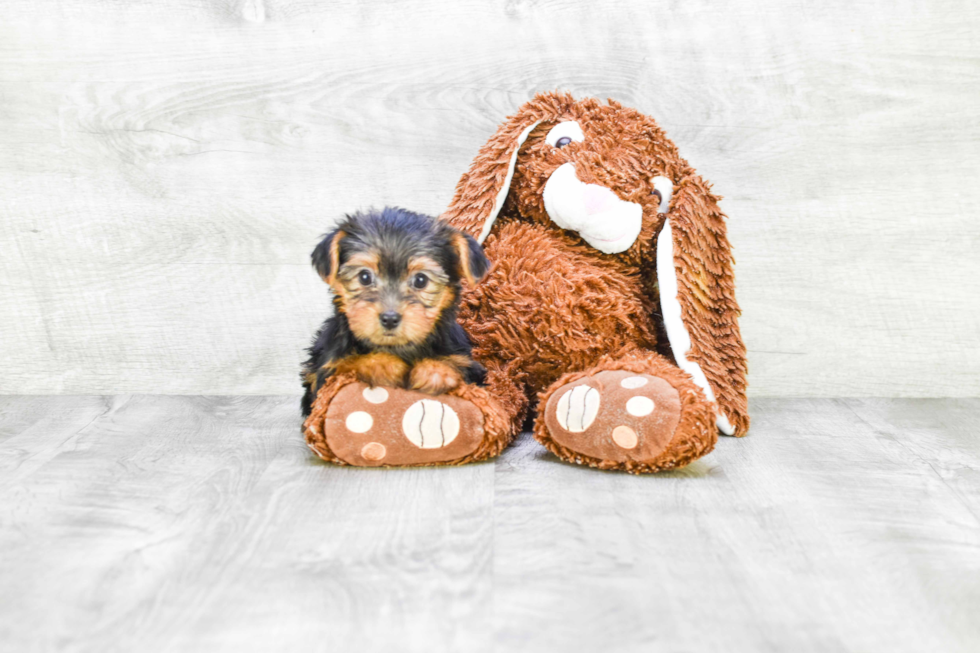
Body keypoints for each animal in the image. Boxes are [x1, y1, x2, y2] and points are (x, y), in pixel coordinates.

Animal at [300, 206, 490, 416]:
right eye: (364, 277)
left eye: (421, 280)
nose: (389, 318)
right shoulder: (327, 372)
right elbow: (347, 364)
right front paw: (382, 364)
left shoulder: (472, 367)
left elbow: (459, 366)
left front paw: (435, 371)